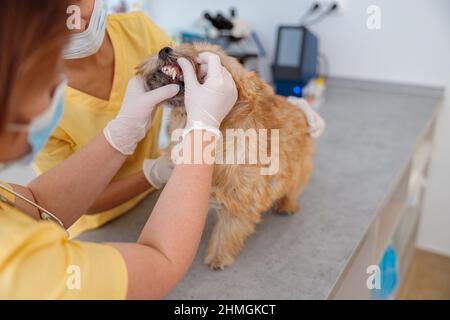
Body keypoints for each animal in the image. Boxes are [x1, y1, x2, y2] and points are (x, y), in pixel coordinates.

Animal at [137, 42, 312, 268]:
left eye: (205, 62)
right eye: (187, 46)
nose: (165, 49)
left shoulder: (242, 200)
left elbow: (228, 230)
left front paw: (218, 256)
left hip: (299, 169)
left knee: (293, 189)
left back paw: (287, 204)